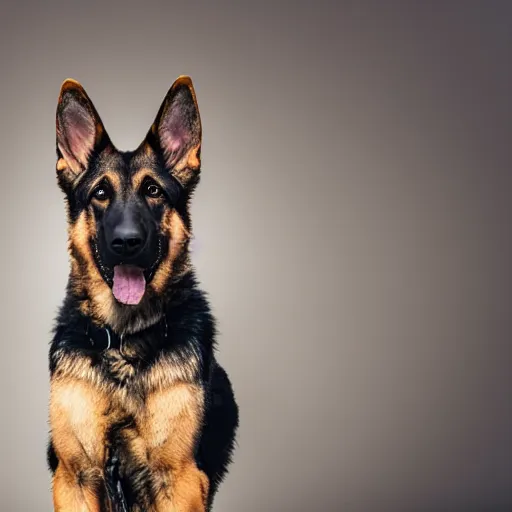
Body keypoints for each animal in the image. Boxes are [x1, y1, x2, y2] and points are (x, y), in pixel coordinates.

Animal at [47, 77, 239, 512]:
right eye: (100, 194)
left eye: (153, 190)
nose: (127, 242)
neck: (123, 338)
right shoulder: (76, 478)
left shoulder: (178, 480)